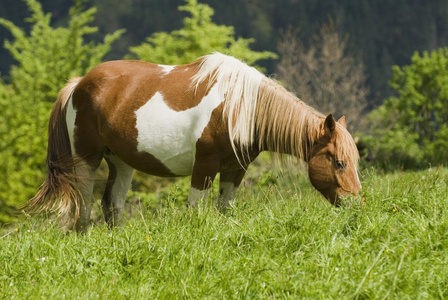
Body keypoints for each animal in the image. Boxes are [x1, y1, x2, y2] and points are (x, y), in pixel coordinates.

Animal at [23, 52, 360, 231]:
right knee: (84, 206)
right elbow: (196, 210)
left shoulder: (235, 170)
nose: (358, 205)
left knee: (112, 203)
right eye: (339, 162)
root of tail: (78, 83)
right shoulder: (205, 167)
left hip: (121, 161)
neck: (239, 107)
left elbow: (224, 209)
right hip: (86, 159)